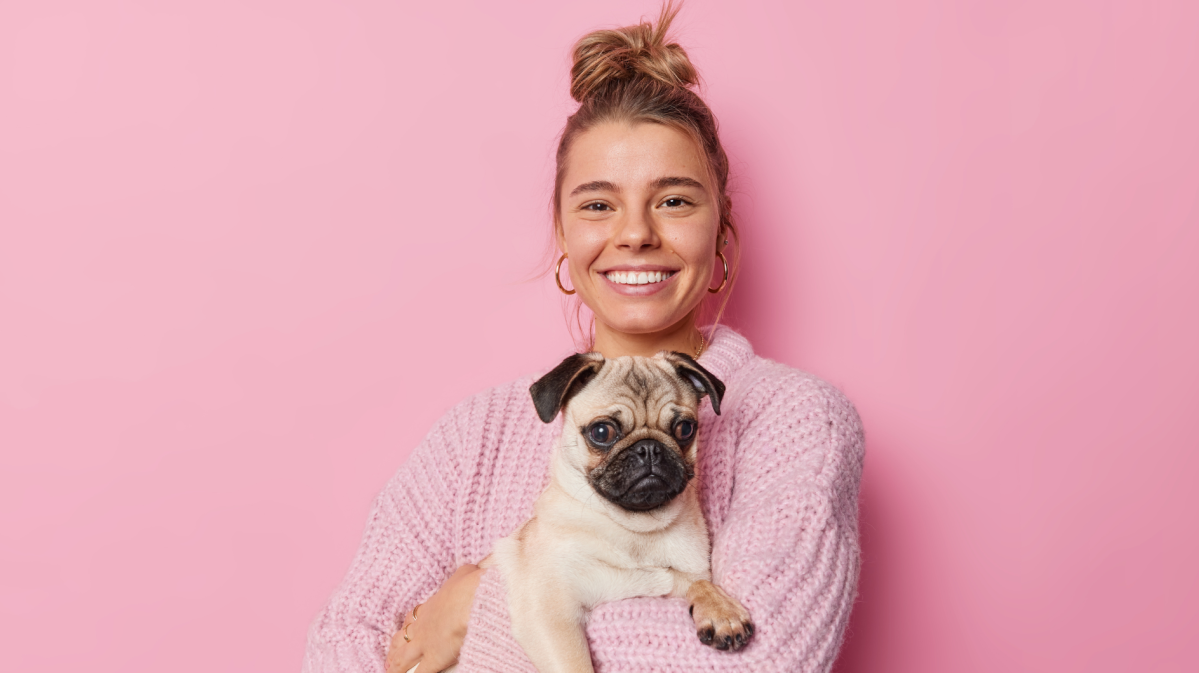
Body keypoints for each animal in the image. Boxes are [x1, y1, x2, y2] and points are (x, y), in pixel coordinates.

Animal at [474, 352, 748, 671]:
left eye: (684, 429)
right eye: (602, 432)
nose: (649, 448)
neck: (635, 528)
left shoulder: (672, 579)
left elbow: (701, 582)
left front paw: (721, 610)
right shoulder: (549, 613)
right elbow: (575, 665)